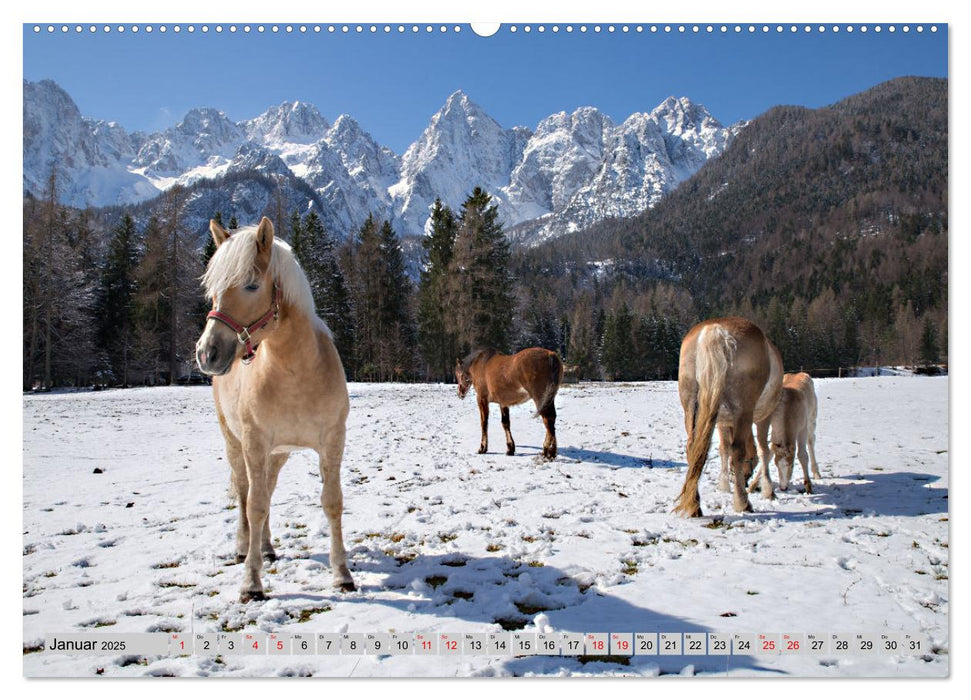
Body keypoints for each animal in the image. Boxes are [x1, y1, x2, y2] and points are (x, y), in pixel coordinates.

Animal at [196, 219, 356, 600]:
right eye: (213, 288)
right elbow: (254, 505)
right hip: (235, 443)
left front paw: (342, 574)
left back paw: (267, 547)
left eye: (252, 285)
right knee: (245, 491)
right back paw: (245, 548)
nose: (207, 353)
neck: (296, 371)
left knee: (266, 488)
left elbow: (332, 501)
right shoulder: (254, 443)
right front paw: (251, 583)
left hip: (278, 453)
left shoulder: (333, 441)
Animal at [680, 316, 784, 516]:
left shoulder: (722, 421)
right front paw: (768, 490)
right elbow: (763, 450)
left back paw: (694, 504)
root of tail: (717, 329)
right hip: (744, 411)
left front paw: (723, 485)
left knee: (692, 448)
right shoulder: (763, 418)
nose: (745, 477)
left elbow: (723, 449)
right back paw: (742, 502)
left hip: (691, 409)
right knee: (738, 450)